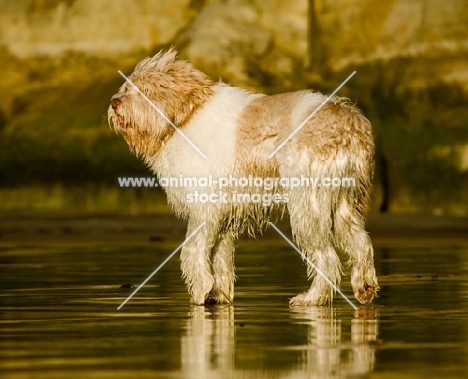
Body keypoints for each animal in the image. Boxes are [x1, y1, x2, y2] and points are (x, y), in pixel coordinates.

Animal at [108, 49, 378, 308]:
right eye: (126, 87)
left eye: (144, 90)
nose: (114, 102)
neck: (183, 118)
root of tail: (349, 121)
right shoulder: (225, 217)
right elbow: (220, 259)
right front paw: (217, 294)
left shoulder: (205, 208)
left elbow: (192, 251)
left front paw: (200, 290)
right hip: (345, 204)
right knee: (361, 243)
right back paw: (364, 288)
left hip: (308, 206)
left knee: (327, 258)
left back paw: (312, 298)